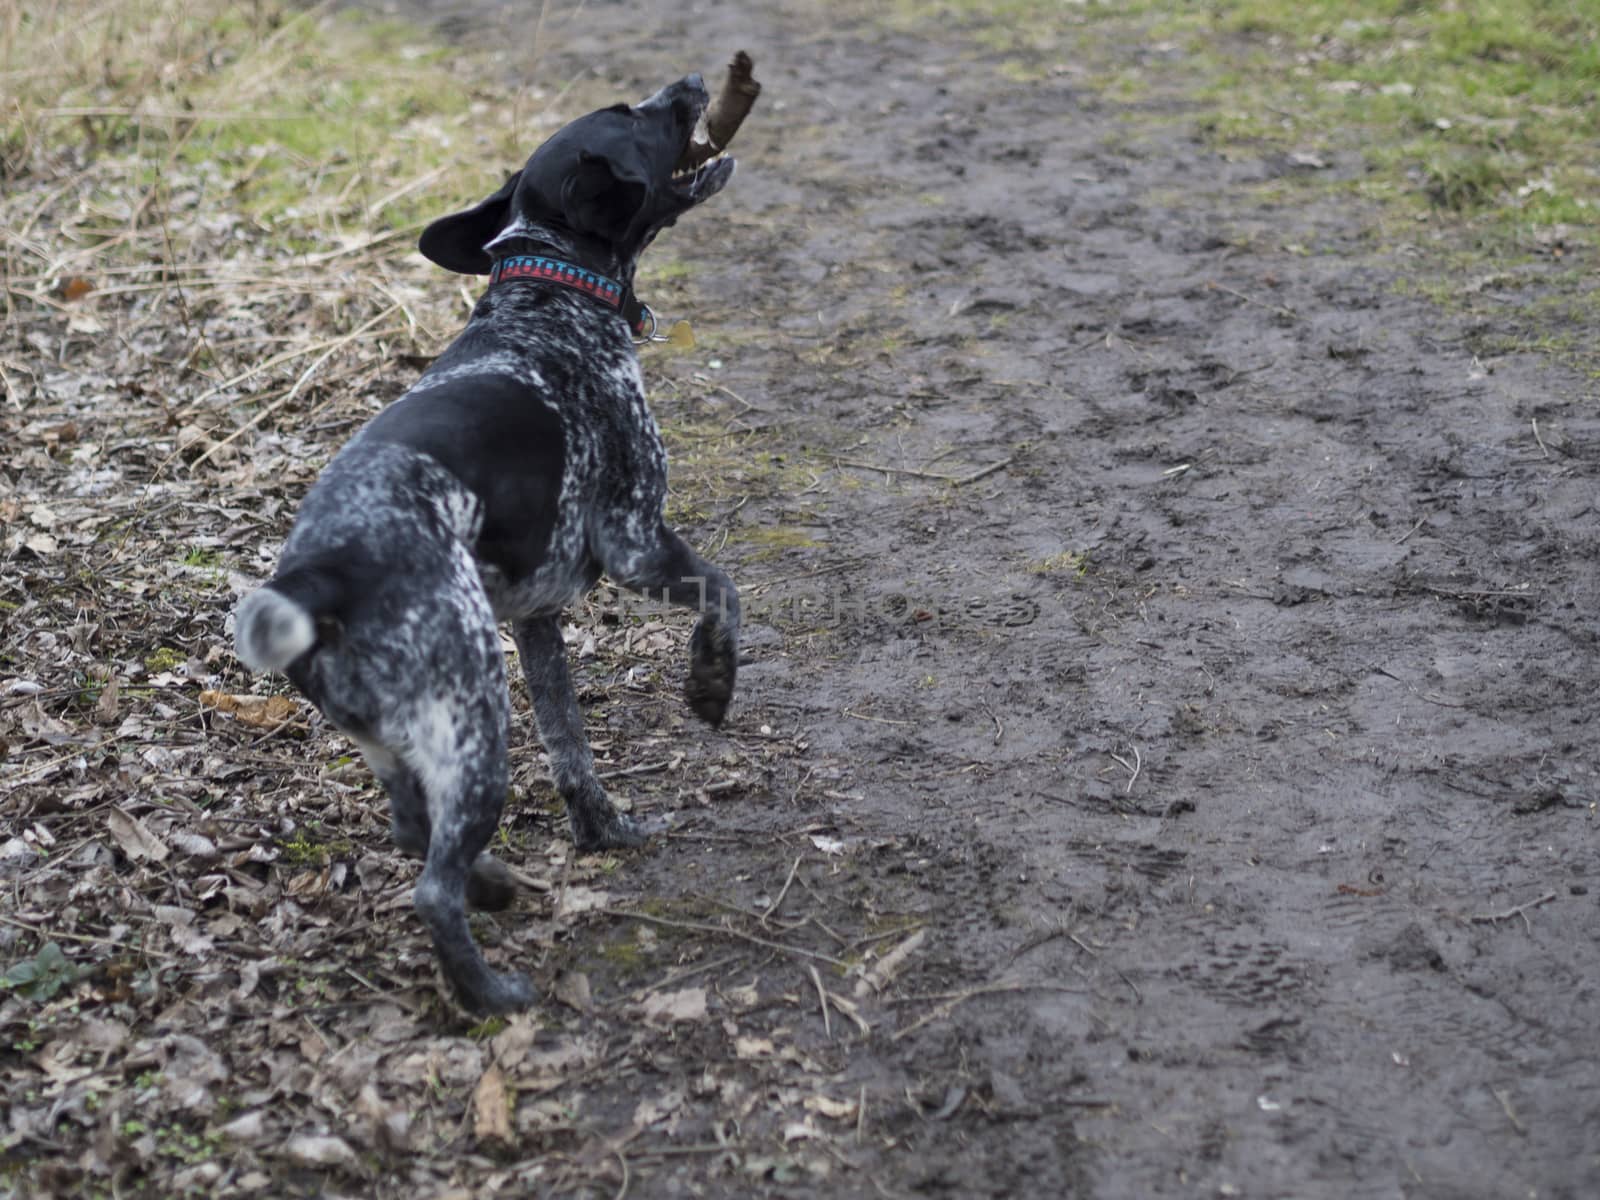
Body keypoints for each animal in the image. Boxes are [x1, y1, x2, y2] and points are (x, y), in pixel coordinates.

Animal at [230, 72, 736, 1017]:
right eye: (633, 115)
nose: (690, 83)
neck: (549, 295)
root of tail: (319, 576)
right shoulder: (637, 542)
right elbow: (724, 595)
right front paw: (710, 687)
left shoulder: (537, 621)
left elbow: (573, 750)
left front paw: (605, 832)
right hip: (474, 722)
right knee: (430, 885)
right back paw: (488, 990)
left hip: (403, 743)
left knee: (411, 833)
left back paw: (494, 885)